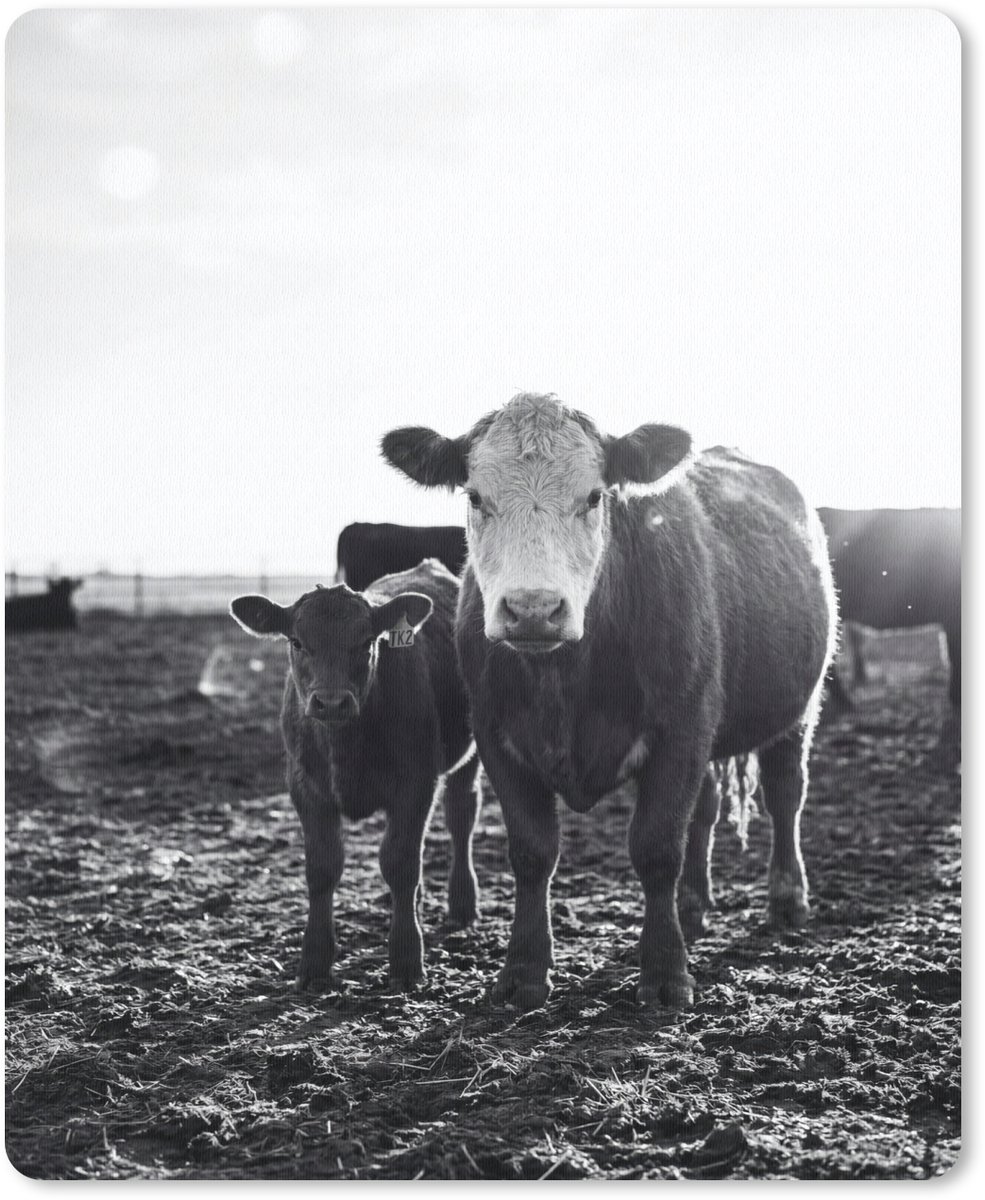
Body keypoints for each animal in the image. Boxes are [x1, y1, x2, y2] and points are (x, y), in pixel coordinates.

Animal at [230, 559, 481, 992]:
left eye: (366, 642)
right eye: (297, 641)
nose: (331, 702)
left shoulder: (417, 784)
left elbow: (400, 863)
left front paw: (406, 959)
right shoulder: (306, 788)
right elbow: (322, 868)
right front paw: (314, 961)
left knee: (461, 814)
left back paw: (462, 902)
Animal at [382, 392, 835, 1011]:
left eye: (595, 495)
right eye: (475, 495)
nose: (532, 609)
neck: (567, 679)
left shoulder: (680, 731)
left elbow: (656, 848)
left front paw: (665, 973)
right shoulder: (498, 738)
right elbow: (532, 852)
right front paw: (524, 971)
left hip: (796, 709)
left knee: (785, 793)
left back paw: (787, 899)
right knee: (706, 808)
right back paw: (692, 905)